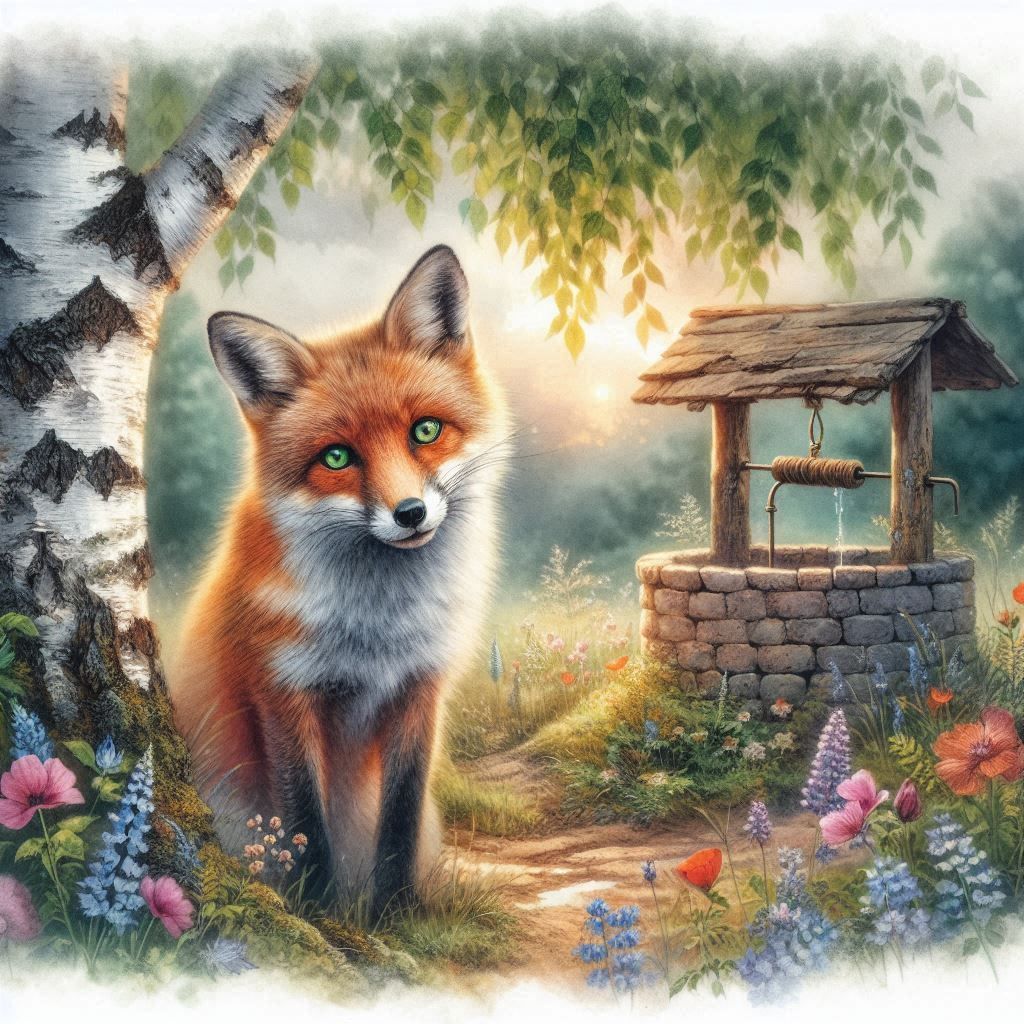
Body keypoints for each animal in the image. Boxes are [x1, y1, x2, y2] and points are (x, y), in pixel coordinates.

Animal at [168, 246, 507, 916]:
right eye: (336, 458)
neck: (378, 626)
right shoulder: (281, 689)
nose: (410, 513)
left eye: (425, 431)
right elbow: (304, 823)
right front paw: (320, 914)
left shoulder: (420, 686)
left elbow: (400, 818)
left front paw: (397, 912)